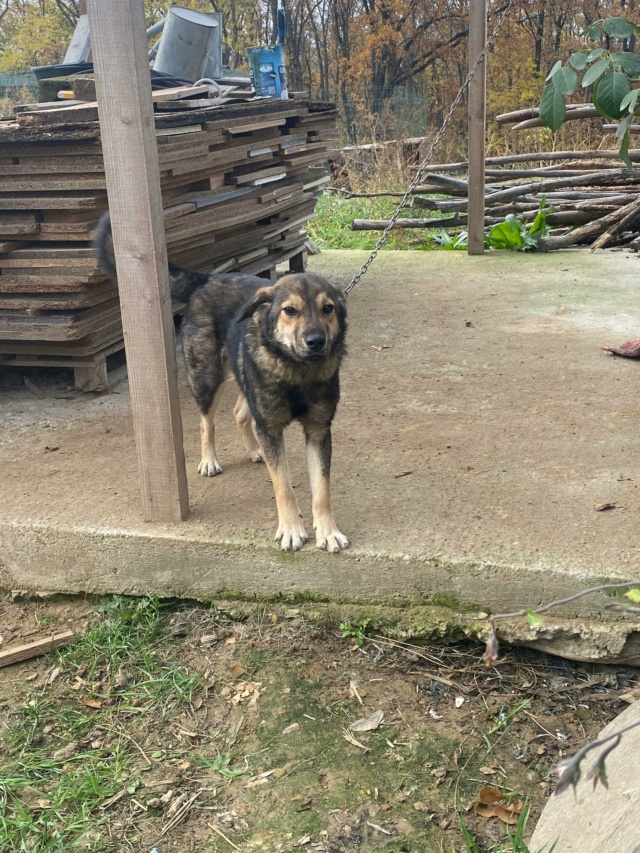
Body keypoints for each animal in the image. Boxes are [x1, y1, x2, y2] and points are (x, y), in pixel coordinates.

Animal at [94, 215, 350, 552]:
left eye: (328, 308)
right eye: (290, 310)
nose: (316, 341)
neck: (296, 372)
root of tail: (208, 280)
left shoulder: (319, 430)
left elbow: (322, 488)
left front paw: (328, 531)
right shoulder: (271, 426)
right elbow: (283, 485)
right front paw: (291, 529)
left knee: (239, 412)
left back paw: (254, 450)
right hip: (207, 377)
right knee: (207, 421)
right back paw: (209, 460)